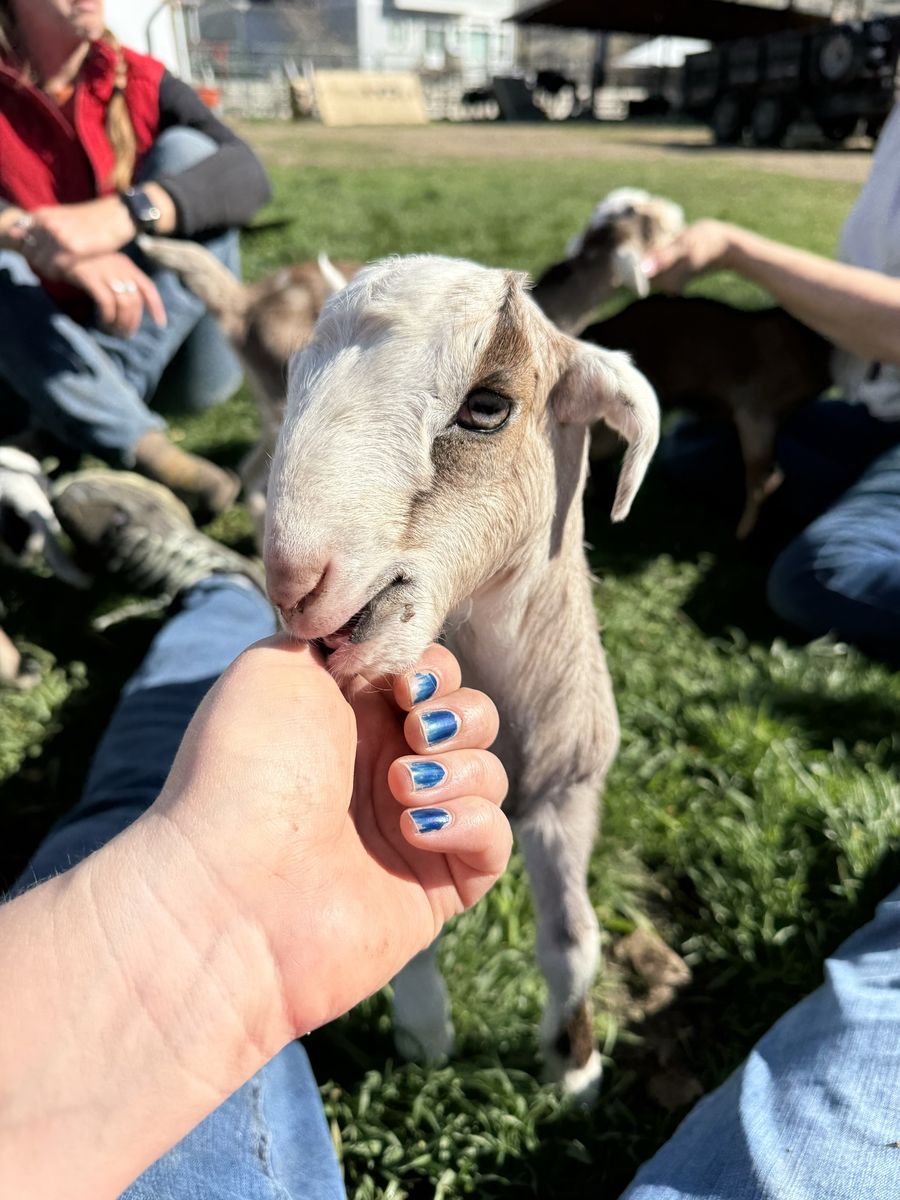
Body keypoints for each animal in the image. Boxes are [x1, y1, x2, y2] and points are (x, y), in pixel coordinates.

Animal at [264, 255, 660, 1096]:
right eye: (296, 379)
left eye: (486, 406)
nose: (294, 581)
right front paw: (424, 1036)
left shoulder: (570, 789)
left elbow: (572, 938)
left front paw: (574, 1068)